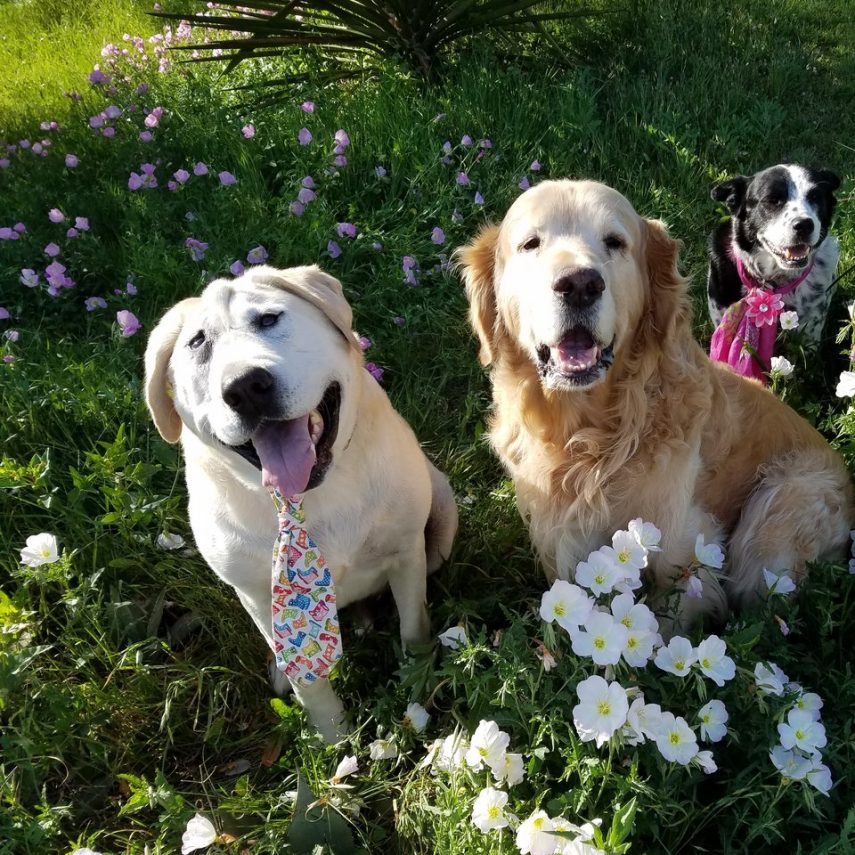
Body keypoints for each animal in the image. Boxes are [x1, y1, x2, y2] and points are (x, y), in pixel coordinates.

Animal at [144, 268, 458, 744]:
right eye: (198, 343)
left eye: (269, 319)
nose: (245, 387)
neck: (308, 497)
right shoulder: (260, 595)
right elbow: (308, 681)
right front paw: (335, 739)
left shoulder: (406, 554)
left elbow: (414, 625)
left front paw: (418, 682)